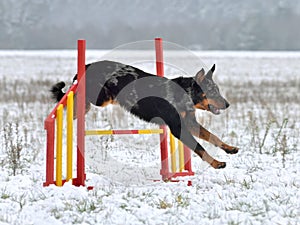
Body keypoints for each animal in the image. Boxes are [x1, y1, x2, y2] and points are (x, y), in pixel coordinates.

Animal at [51, 59, 239, 169]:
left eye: (217, 90)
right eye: (212, 91)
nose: (228, 104)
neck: (184, 94)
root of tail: (87, 65)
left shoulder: (190, 124)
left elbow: (212, 136)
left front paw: (229, 148)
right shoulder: (178, 128)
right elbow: (200, 147)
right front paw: (216, 163)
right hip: (101, 98)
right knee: (76, 95)